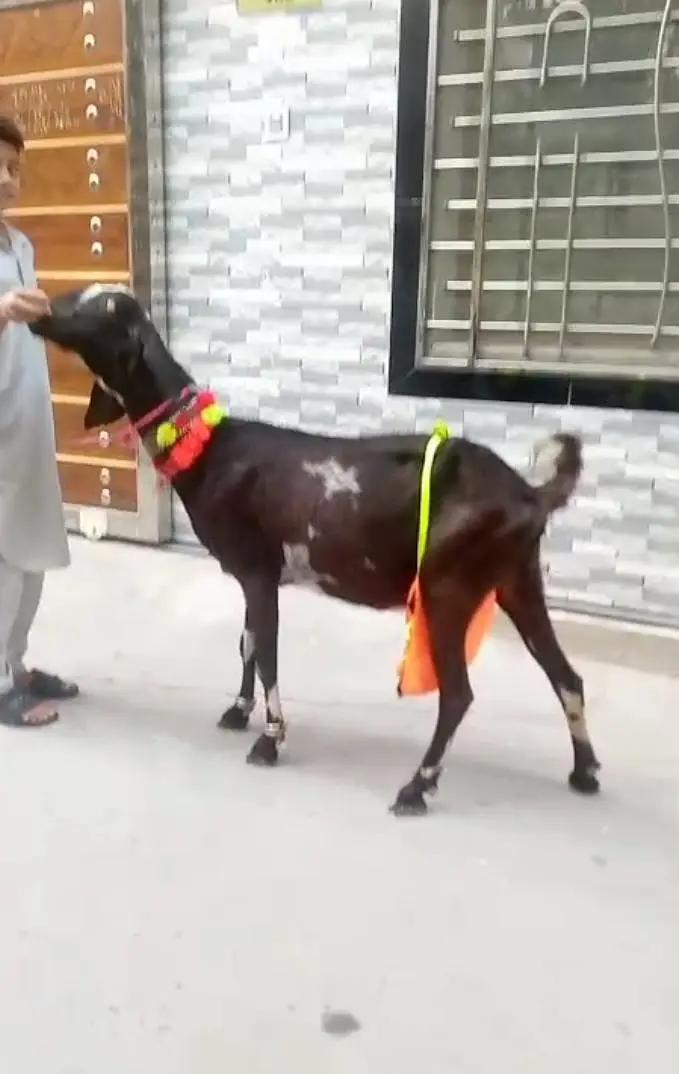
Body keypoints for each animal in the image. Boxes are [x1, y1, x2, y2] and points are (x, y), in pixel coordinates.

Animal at [32, 285, 601, 815]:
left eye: (104, 308)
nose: (39, 311)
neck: (211, 449)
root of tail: (529, 494)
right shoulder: (253, 573)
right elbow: (247, 643)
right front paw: (237, 712)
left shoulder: (259, 570)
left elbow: (267, 655)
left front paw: (269, 741)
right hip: (516, 578)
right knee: (566, 676)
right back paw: (585, 773)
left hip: (449, 587)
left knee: (459, 694)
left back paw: (416, 787)